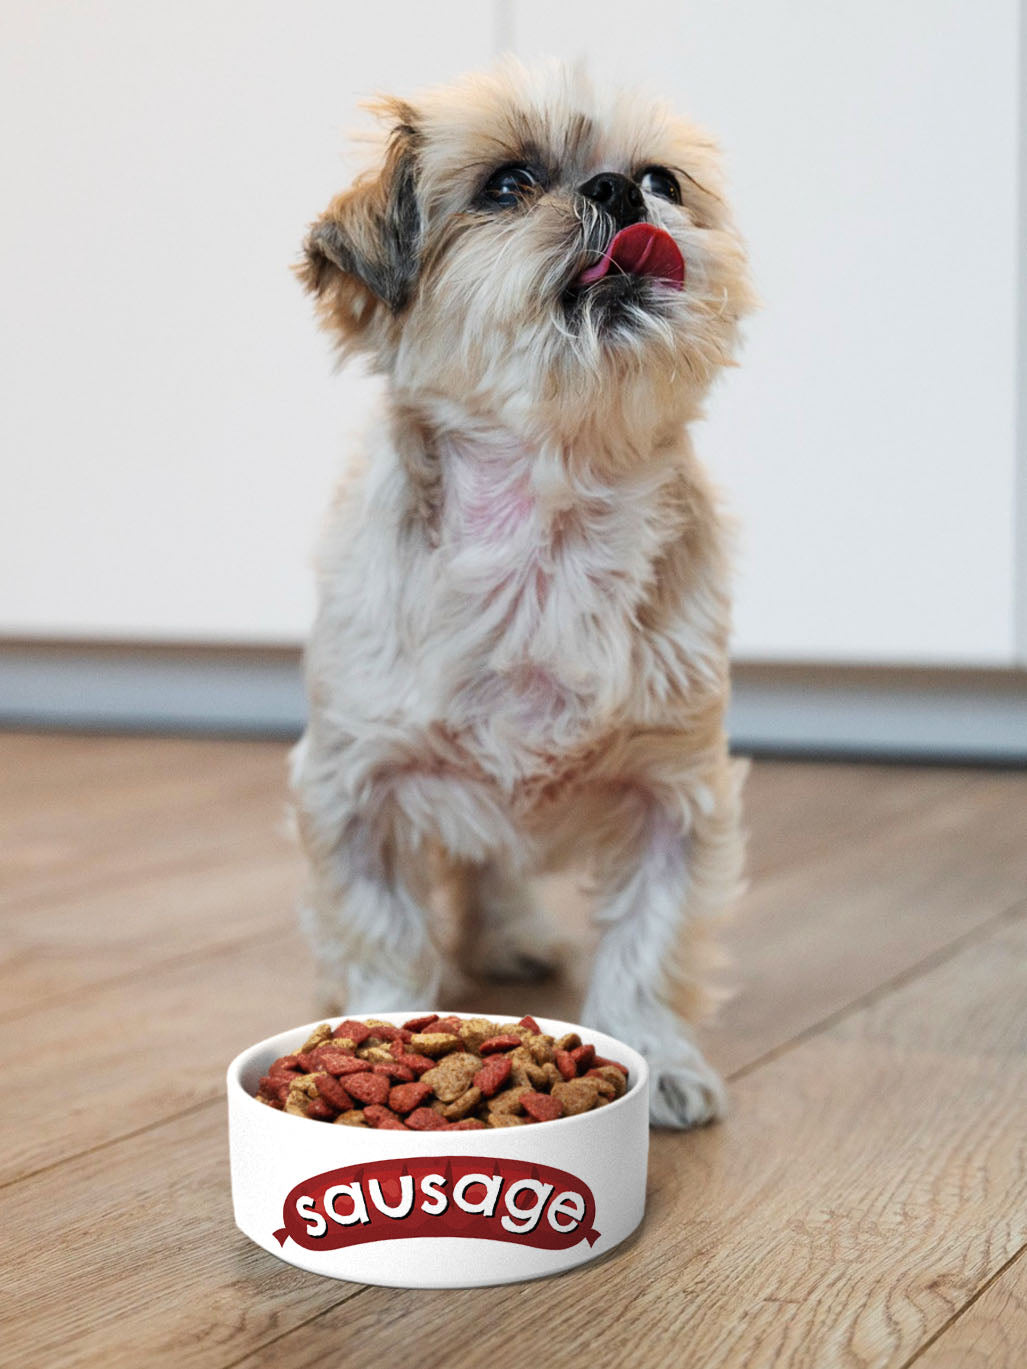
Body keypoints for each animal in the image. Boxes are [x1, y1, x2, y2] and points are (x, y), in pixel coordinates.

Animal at [290, 58, 755, 1128]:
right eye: (507, 184)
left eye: (663, 179)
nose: (619, 192)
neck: (546, 536)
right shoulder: (355, 786)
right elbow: (383, 929)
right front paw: (374, 1029)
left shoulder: (675, 794)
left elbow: (649, 945)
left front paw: (658, 1060)